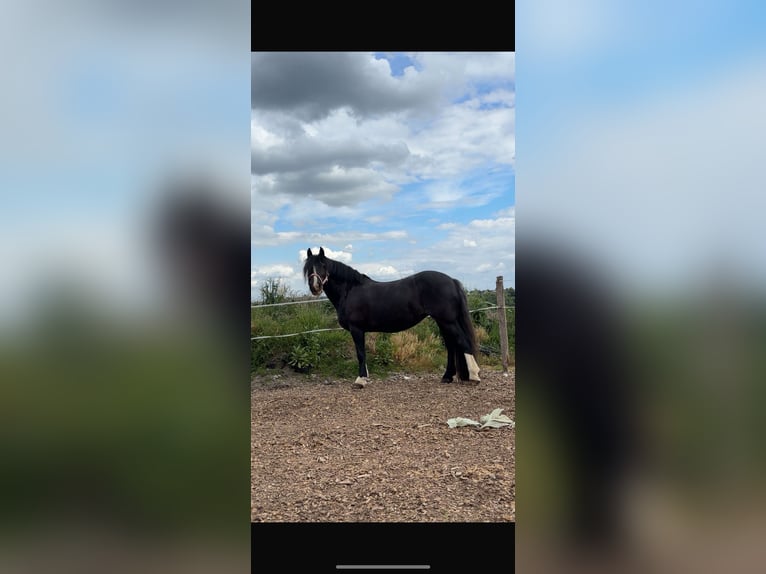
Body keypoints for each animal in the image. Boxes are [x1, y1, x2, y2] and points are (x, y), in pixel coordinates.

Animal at [303, 247, 480, 388]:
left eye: (323, 266)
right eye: (308, 268)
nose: (315, 287)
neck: (350, 290)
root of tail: (451, 281)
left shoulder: (356, 329)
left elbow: (360, 353)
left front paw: (360, 380)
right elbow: (363, 354)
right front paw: (365, 377)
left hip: (447, 321)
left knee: (462, 342)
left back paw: (474, 375)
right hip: (442, 321)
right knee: (451, 346)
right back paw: (447, 377)